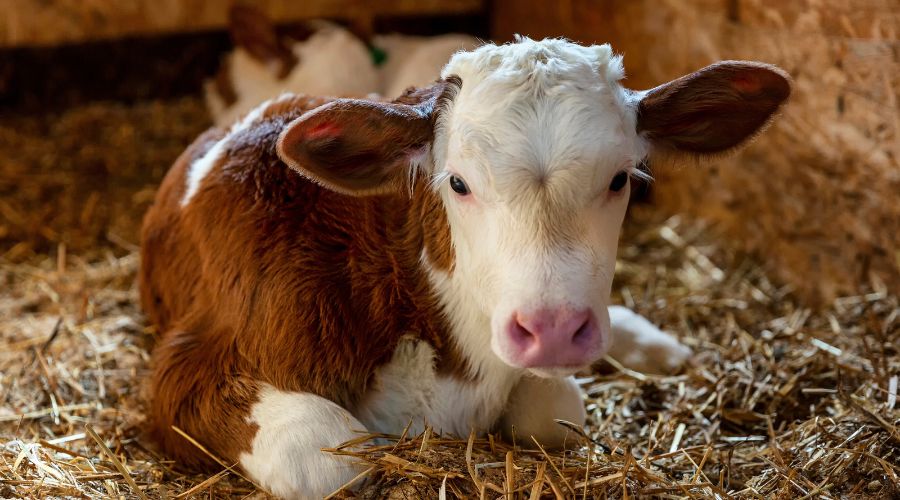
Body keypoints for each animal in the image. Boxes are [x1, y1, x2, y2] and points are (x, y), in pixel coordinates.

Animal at [141, 37, 790, 498]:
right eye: (457, 183)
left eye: (619, 179)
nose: (554, 329)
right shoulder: (190, 367)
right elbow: (331, 457)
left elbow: (557, 409)